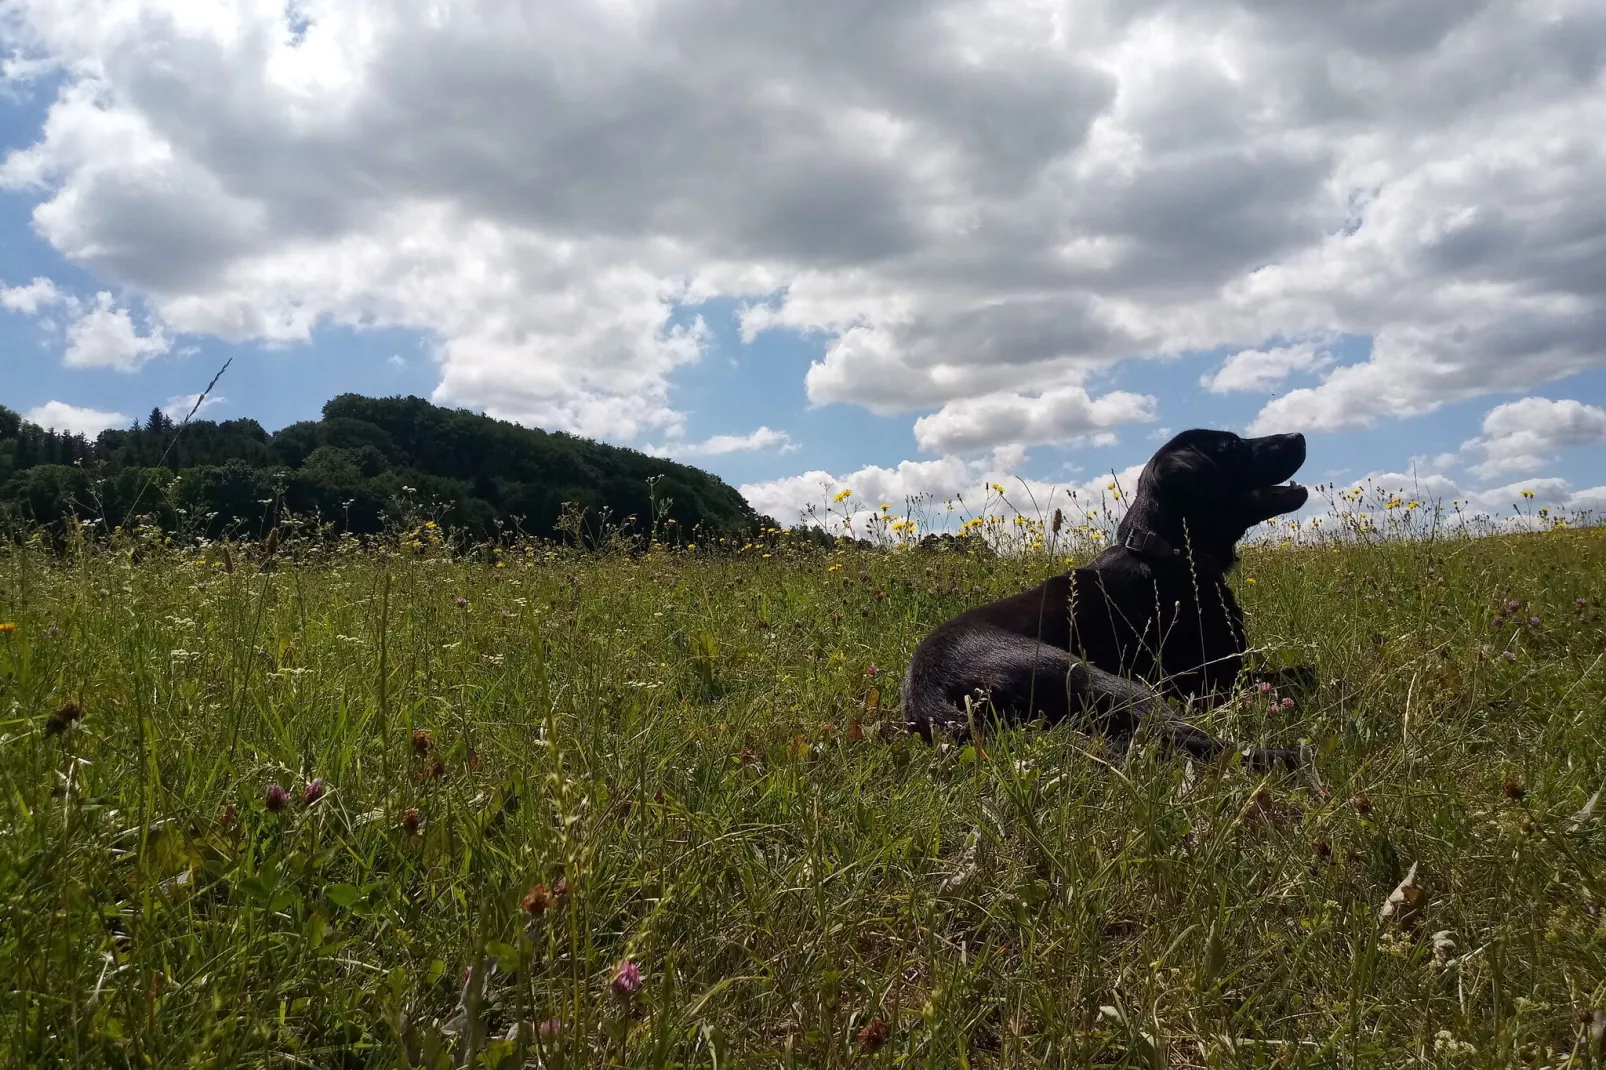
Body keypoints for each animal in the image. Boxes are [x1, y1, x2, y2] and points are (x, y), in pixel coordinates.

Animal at [899, 430, 1310, 761]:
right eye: (1232, 446)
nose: (1299, 436)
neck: (1166, 552)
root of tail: (929, 696)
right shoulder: (1209, 680)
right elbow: (1304, 673)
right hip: (1101, 679)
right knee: (1191, 741)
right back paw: (1292, 758)